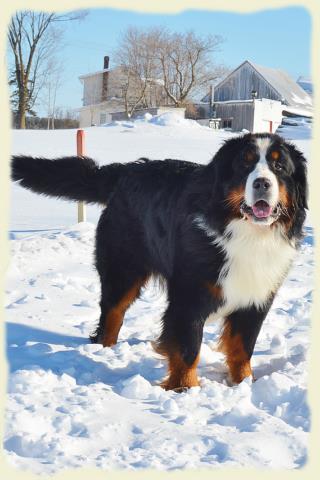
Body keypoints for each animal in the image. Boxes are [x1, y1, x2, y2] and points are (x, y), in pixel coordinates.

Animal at [11, 131, 308, 390]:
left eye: (279, 166)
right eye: (244, 165)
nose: (262, 183)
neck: (247, 234)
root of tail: (126, 171)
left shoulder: (256, 297)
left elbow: (243, 347)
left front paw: (245, 383)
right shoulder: (188, 298)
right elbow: (188, 349)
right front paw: (185, 389)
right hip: (123, 270)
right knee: (112, 315)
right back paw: (104, 352)